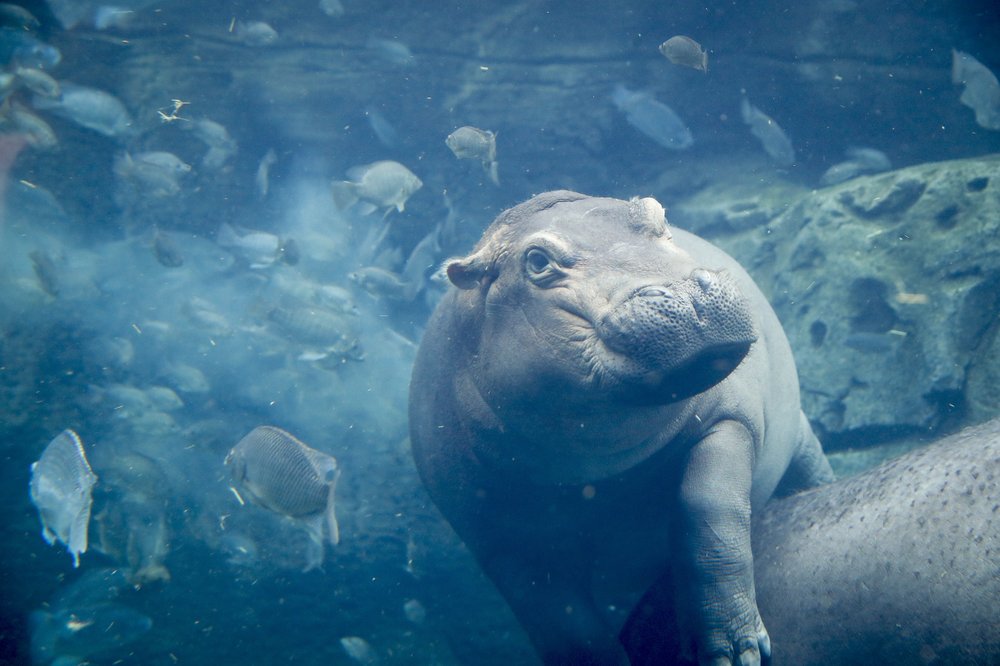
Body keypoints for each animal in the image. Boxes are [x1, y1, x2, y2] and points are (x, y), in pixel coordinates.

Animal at [409, 191, 834, 665]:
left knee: (809, 466)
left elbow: (710, 516)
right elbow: (570, 629)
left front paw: (735, 652)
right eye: (536, 261)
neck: (598, 467)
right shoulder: (500, 542)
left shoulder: (729, 420)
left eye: (657, 214)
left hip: (799, 434)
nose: (686, 295)